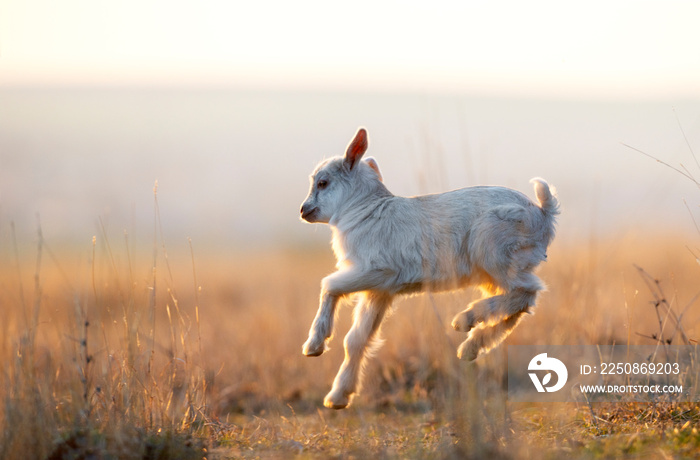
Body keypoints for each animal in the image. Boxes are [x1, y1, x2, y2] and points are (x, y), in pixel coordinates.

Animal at [300, 127, 556, 408]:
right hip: (493, 272)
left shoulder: (376, 272)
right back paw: (469, 348)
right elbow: (356, 340)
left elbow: (329, 286)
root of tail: (543, 214)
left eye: (323, 183)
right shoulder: (379, 292)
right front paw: (337, 399)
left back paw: (463, 321)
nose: (303, 211)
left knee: (527, 291)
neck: (362, 209)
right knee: (519, 304)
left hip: (494, 253)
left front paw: (313, 347)